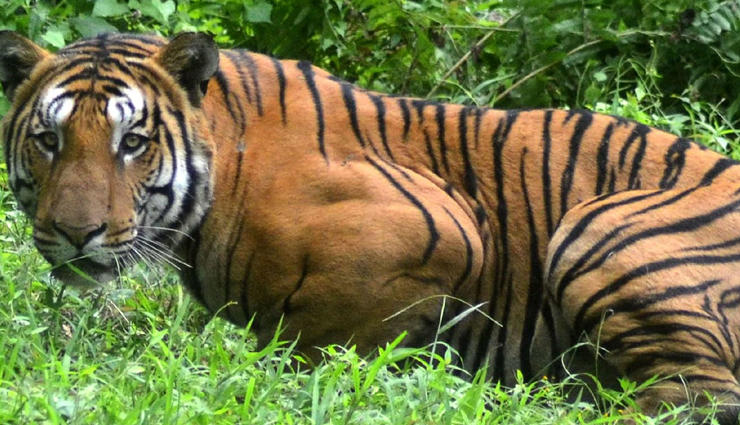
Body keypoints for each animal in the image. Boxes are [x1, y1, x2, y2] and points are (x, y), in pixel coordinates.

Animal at [2, 30, 739, 420]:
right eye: (48, 140)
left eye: (132, 142)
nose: (76, 233)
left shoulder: (440, 227)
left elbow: (321, 340)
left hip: (599, 226)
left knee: (698, 396)